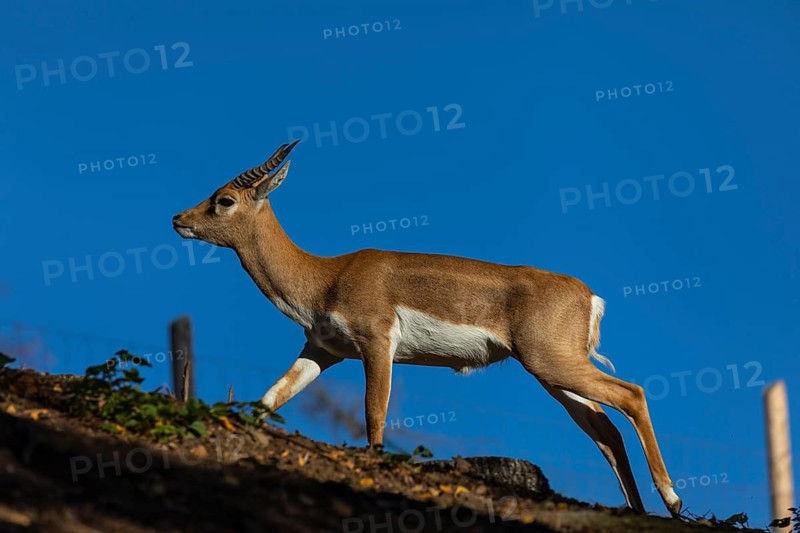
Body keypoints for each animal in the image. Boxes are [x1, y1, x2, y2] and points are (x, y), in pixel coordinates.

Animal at [172, 140, 682, 516]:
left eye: (224, 200)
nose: (178, 219)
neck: (326, 277)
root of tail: (589, 295)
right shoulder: (323, 351)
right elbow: (270, 398)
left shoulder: (377, 342)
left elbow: (374, 411)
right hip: (552, 374)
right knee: (607, 431)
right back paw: (642, 511)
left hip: (552, 363)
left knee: (632, 394)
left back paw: (673, 500)